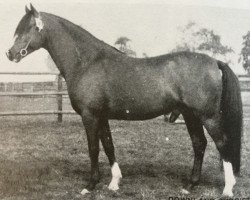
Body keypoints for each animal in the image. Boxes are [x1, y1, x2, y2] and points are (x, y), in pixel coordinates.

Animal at [6, 4, 242, 197]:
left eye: (29, 28)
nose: (10, 53)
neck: (87, 62)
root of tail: (215, 62)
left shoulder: (90, 116)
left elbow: (93, 148)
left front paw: (90, 185)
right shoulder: (102, 117)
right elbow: (109, 146)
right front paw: (114, 183)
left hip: (208, 117)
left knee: (222, 144)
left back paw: (228, 189)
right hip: (190, 115)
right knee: (199, 144)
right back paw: (189, 185)